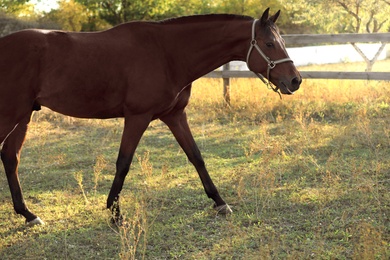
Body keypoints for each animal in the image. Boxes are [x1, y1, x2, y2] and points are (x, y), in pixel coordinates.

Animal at [0, 8, 302, 225]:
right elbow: (123, 163)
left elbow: (196, 157)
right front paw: (115, 213)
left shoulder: (175, 116)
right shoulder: (137, 117)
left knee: (10, 157)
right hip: (11, 115)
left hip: (22, 116)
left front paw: (220, 202)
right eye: (269, 43)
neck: (167, 53)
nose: (295, 80)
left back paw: (28, 215)